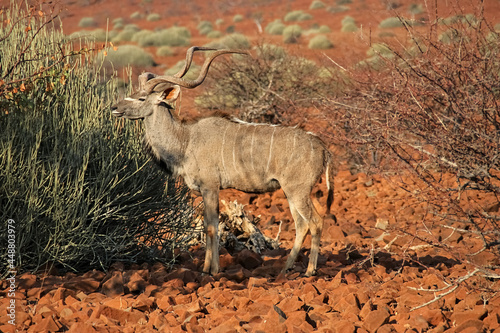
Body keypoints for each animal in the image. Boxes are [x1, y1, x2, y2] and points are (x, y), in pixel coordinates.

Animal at [111, 46, 334, 274]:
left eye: (141, 98)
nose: (114, 107)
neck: (186, 139)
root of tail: (322, 147)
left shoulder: (210, 187)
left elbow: (212, 227)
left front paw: (212, 270)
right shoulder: (205, 190)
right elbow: (209, 224)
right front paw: (207, 267)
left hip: (297, 191)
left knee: (315, 222)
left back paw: (310, 270)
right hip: (293, 193)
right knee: (301, 224)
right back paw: (284, 269)